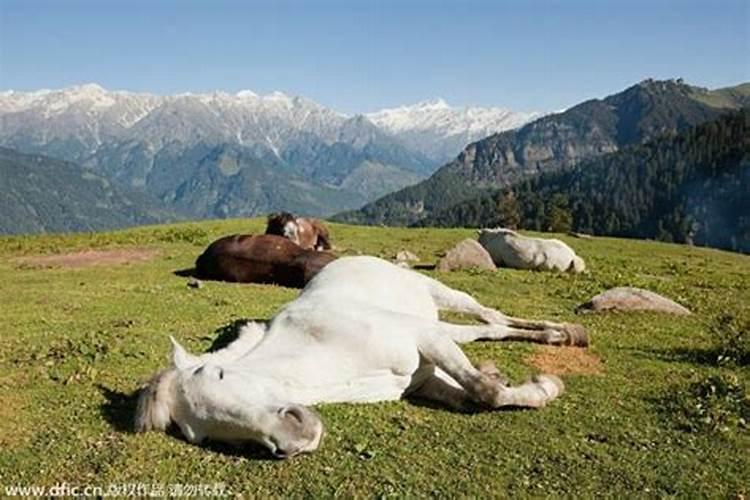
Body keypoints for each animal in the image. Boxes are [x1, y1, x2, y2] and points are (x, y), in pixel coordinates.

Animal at [138, 258, 592, 458]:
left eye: (217, 373)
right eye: (202, 435)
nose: (295, 439)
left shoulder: (425, 337)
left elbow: (485, 390)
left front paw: (544, 384)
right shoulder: (424, 378)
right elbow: (476, 393)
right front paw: (532, 385)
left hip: (441, 296)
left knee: (490, 318)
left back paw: (565, 332)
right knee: (487, 328)